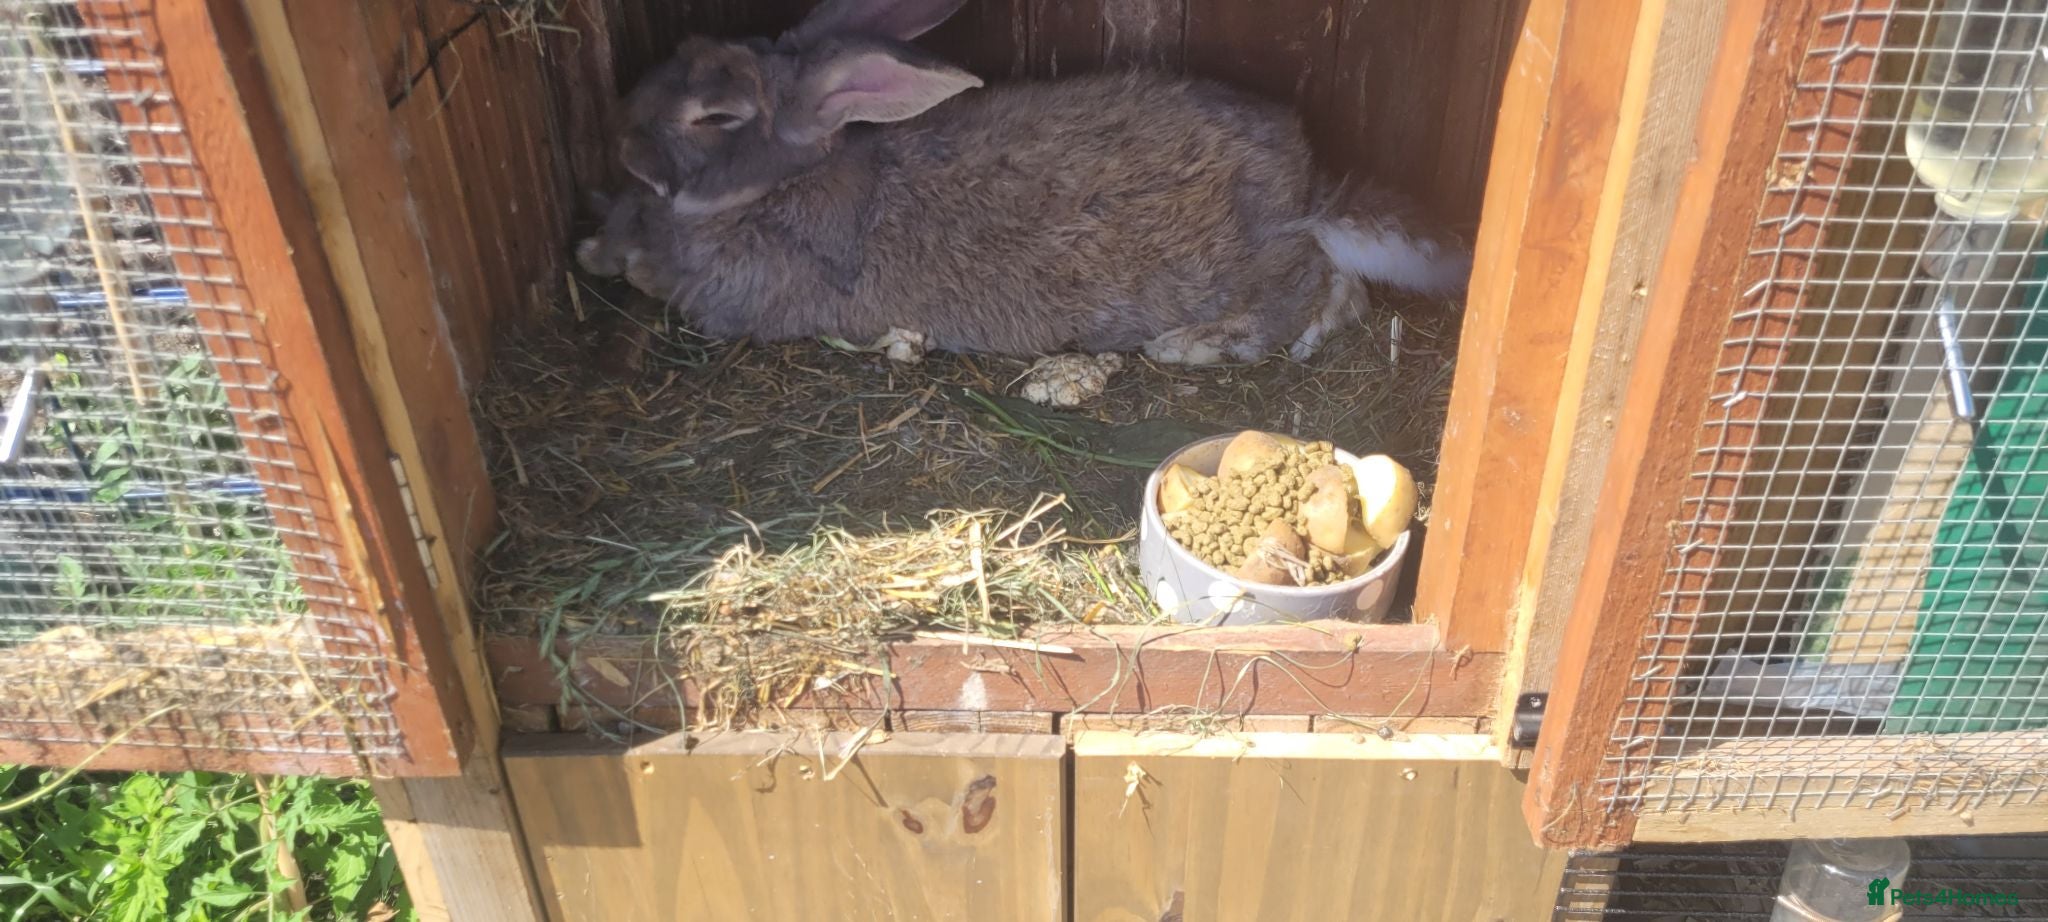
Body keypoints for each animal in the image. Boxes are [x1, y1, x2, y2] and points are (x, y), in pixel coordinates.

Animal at [576, 0, 1472, 366]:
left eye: (715, 116)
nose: (617, 136)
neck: (777, 185)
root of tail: (1306, 196)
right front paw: (599, 247)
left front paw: (628, 263)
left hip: (1238, 266)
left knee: (1310, 292)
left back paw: (1192, 346)